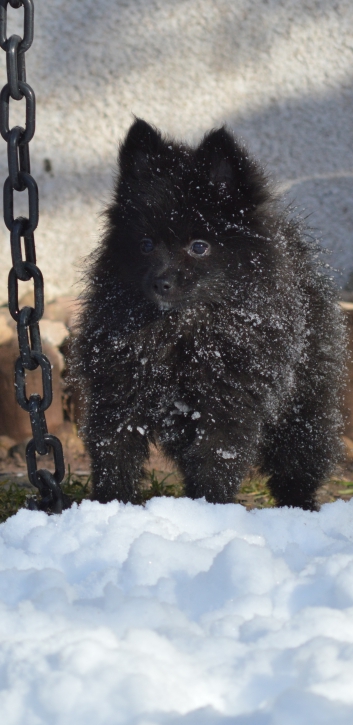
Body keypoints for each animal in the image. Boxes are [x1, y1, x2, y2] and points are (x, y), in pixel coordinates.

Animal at [73, 119, 346, 506]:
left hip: (304, 405)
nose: (160, 282)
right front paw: (111, 506)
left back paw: (300, 505)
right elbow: (115, 456)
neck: (181, 331)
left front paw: (209, 510)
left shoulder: (227, 405)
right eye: (146, 245)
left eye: (199, 247)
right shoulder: (118, 393)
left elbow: (215, 463)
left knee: (301, 457)